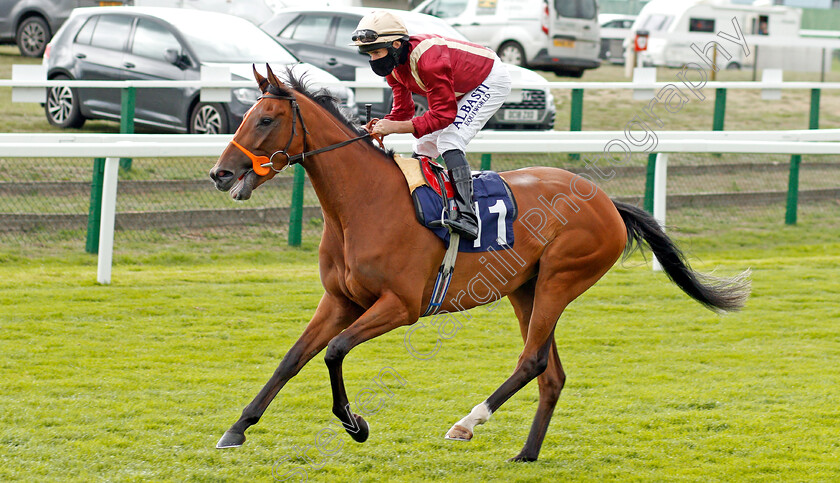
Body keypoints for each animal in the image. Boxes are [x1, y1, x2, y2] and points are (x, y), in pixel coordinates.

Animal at [208, 64, 748, 462]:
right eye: (246, 115)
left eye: (265, 119)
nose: (220, 173)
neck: (362, 205)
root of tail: (607, 202)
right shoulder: (340, 300)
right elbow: (292, 359)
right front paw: (237, 429)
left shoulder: (401, 305)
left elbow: (335, 352)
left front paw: (355, 424)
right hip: (526, 288)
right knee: (551, 372)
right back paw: (526, 453)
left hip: (560, 279)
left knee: (532, 361)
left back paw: (467, 423)